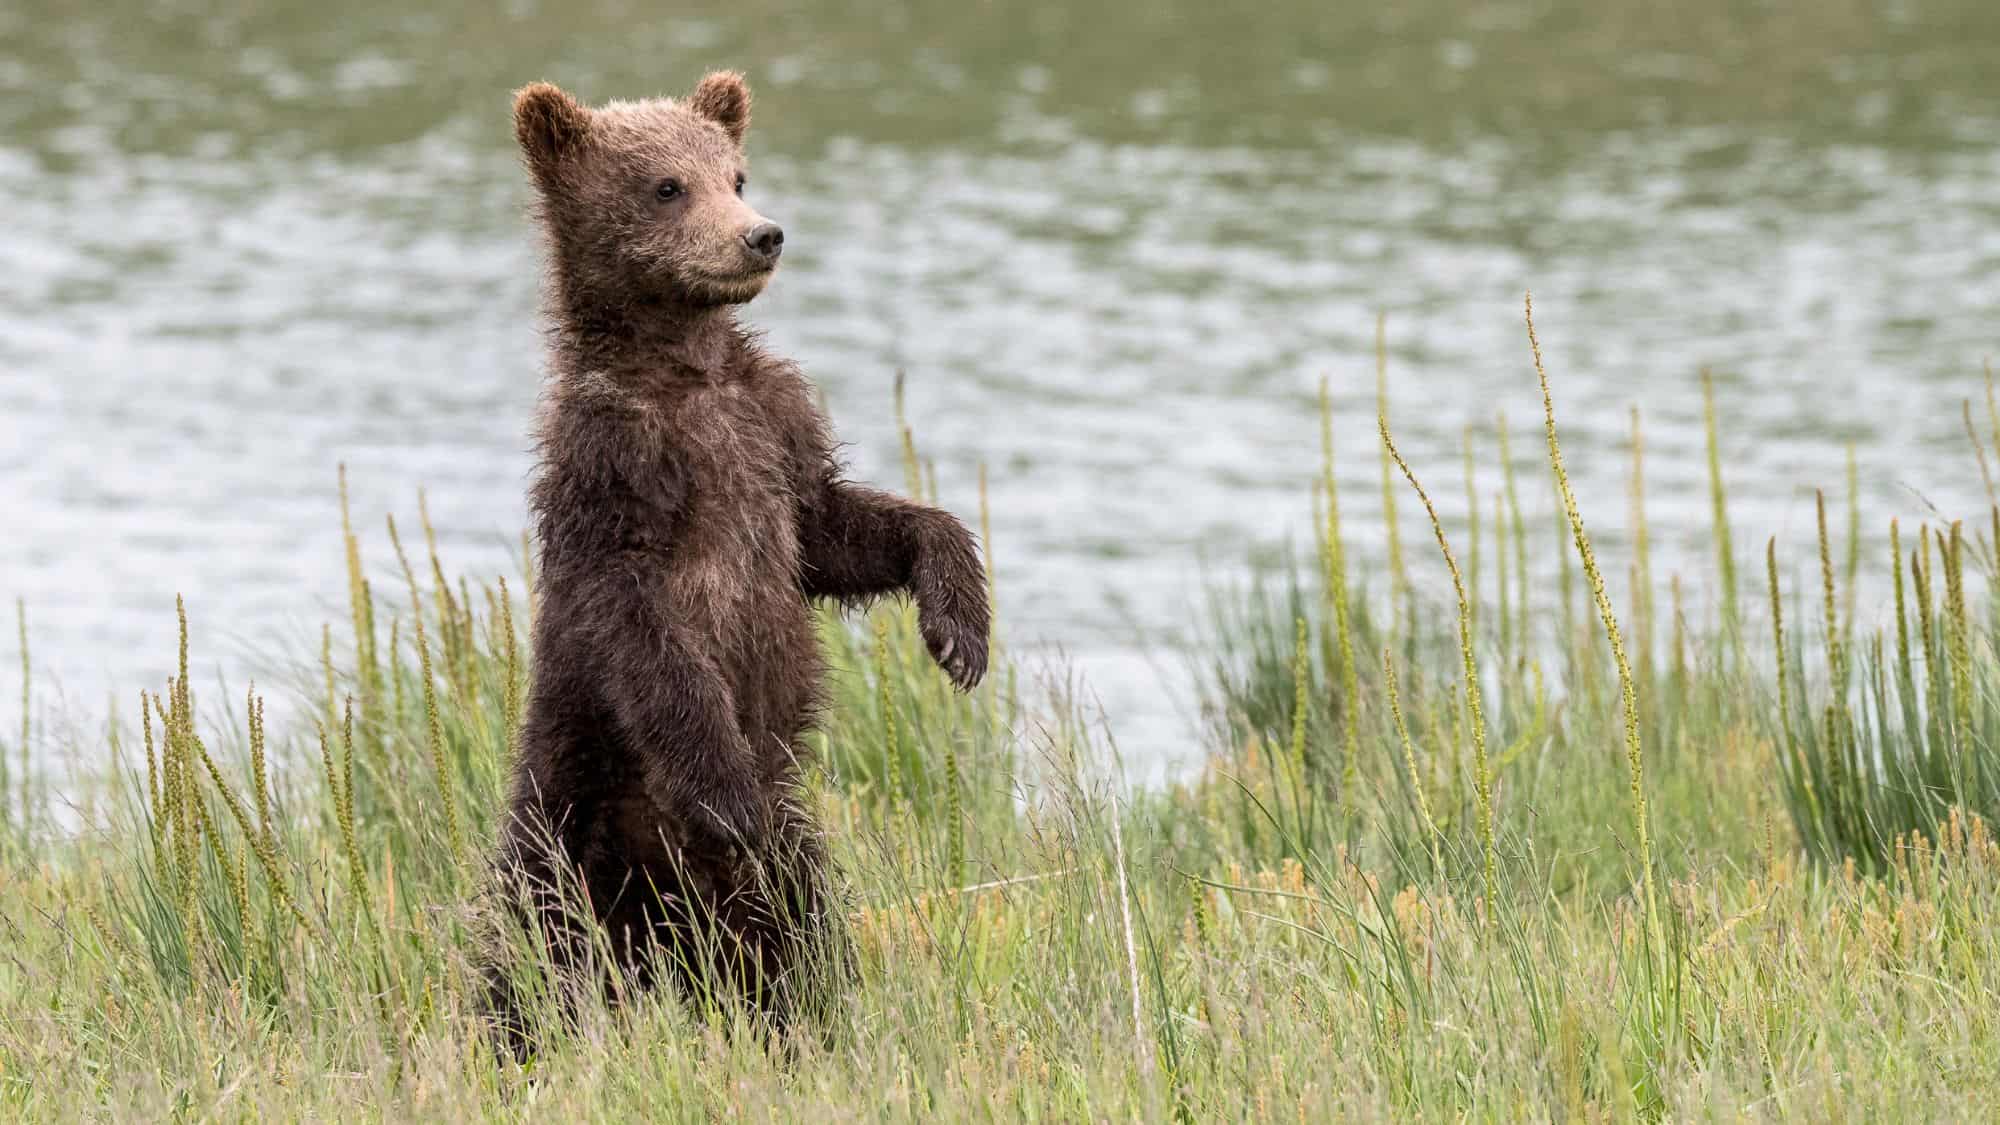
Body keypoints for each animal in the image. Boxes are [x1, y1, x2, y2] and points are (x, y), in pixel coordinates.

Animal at [486, 72, 990, 1050]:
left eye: (737, 174)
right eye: (666, 185)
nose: (763, 234)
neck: (688, 367)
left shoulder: (773, 428)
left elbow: (831, 530)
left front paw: (960, 626)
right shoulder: (612, 467)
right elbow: (643, 625)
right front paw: (724, 792)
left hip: (788, 858)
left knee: (799, 932)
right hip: (571, 800)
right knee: (532, 936)